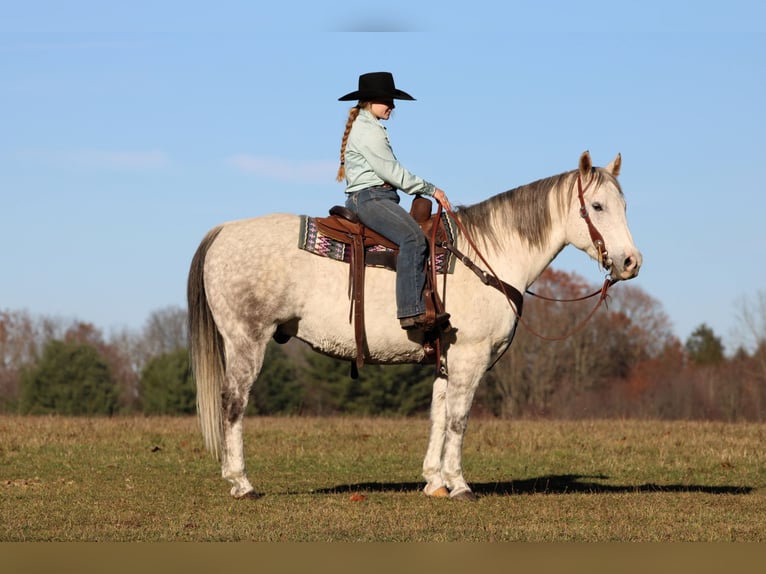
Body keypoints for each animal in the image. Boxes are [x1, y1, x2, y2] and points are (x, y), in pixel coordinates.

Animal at [187, 151, 642, 501]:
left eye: (624, 206)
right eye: (597, 207)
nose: (630, 262)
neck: (490, 255)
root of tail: (222, 232)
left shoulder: (446, 359)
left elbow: (438, 416)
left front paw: (435, 482)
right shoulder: (470, 357)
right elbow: (458, 419)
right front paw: (460, 485)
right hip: (246, 341)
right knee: (233, 403)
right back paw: (242, 484)